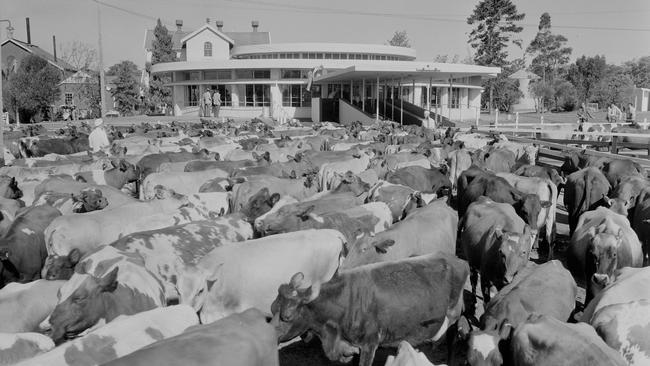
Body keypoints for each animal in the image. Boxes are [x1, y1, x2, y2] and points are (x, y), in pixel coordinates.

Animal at [270, 253, 468, 366]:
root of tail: (457, 260)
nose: (270, 336)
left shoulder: (369, 343)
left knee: (452, 340)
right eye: (272, 309)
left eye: (287, 316)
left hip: (453, 316)